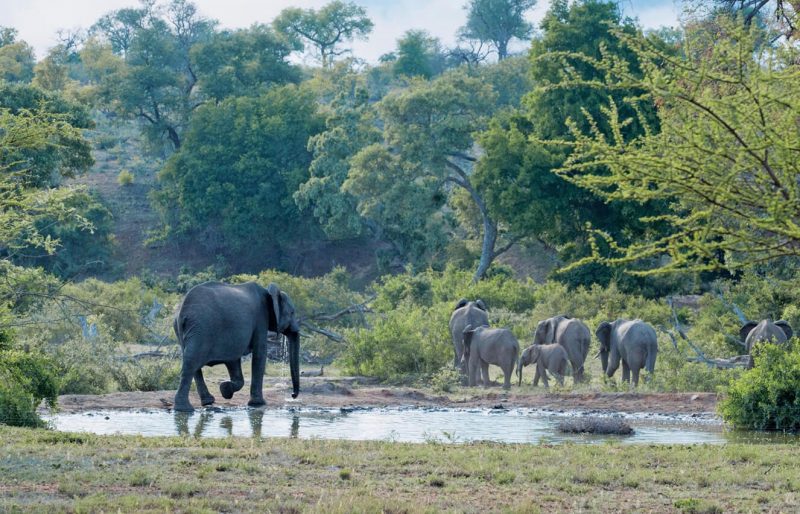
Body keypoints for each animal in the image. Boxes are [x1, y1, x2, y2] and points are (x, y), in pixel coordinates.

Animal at [172, 280, 300, 412]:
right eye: (292, 312)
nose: (292, 395)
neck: (268, 292)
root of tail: (182, 312)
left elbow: (233, 360)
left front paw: (225, 389)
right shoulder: (260, 318)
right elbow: (260, 353)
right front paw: (258, 403)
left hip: (184, 330)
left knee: (192, 363)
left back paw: (207, 402)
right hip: (201, 328)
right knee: (192, 362)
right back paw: (185, 409)